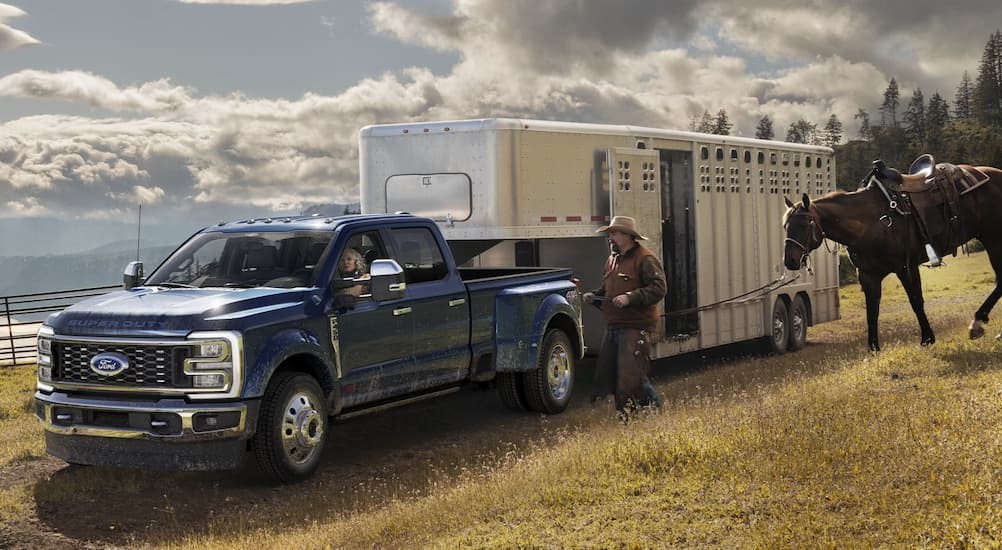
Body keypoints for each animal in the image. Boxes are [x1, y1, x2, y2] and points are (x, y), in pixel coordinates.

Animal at [781, 161, 1002, 348]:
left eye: (804, 224)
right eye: (785, 226)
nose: (789, 260)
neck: (870, 223)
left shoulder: (906, 267)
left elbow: (916, 300)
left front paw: (927, 338)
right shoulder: (868, 275)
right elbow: (872, 311)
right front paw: (873, 350)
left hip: (993, 238)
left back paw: (977, 323)